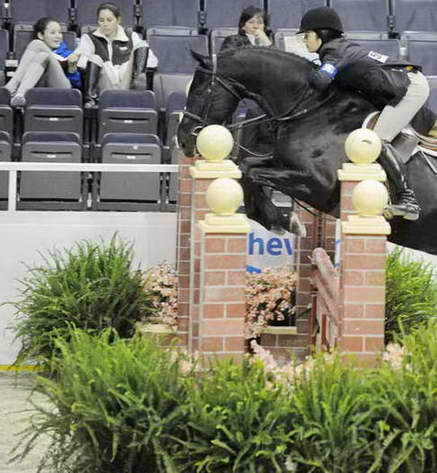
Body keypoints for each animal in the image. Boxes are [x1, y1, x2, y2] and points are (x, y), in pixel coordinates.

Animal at [176, 47, 436, 254]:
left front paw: (283, 221)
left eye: (199, 89)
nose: (183, 139)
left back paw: (406, 205)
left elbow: (250, 172)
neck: (311, 108)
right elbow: (246, 167)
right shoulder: (282, 163)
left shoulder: (317, 184)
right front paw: (276, 221)